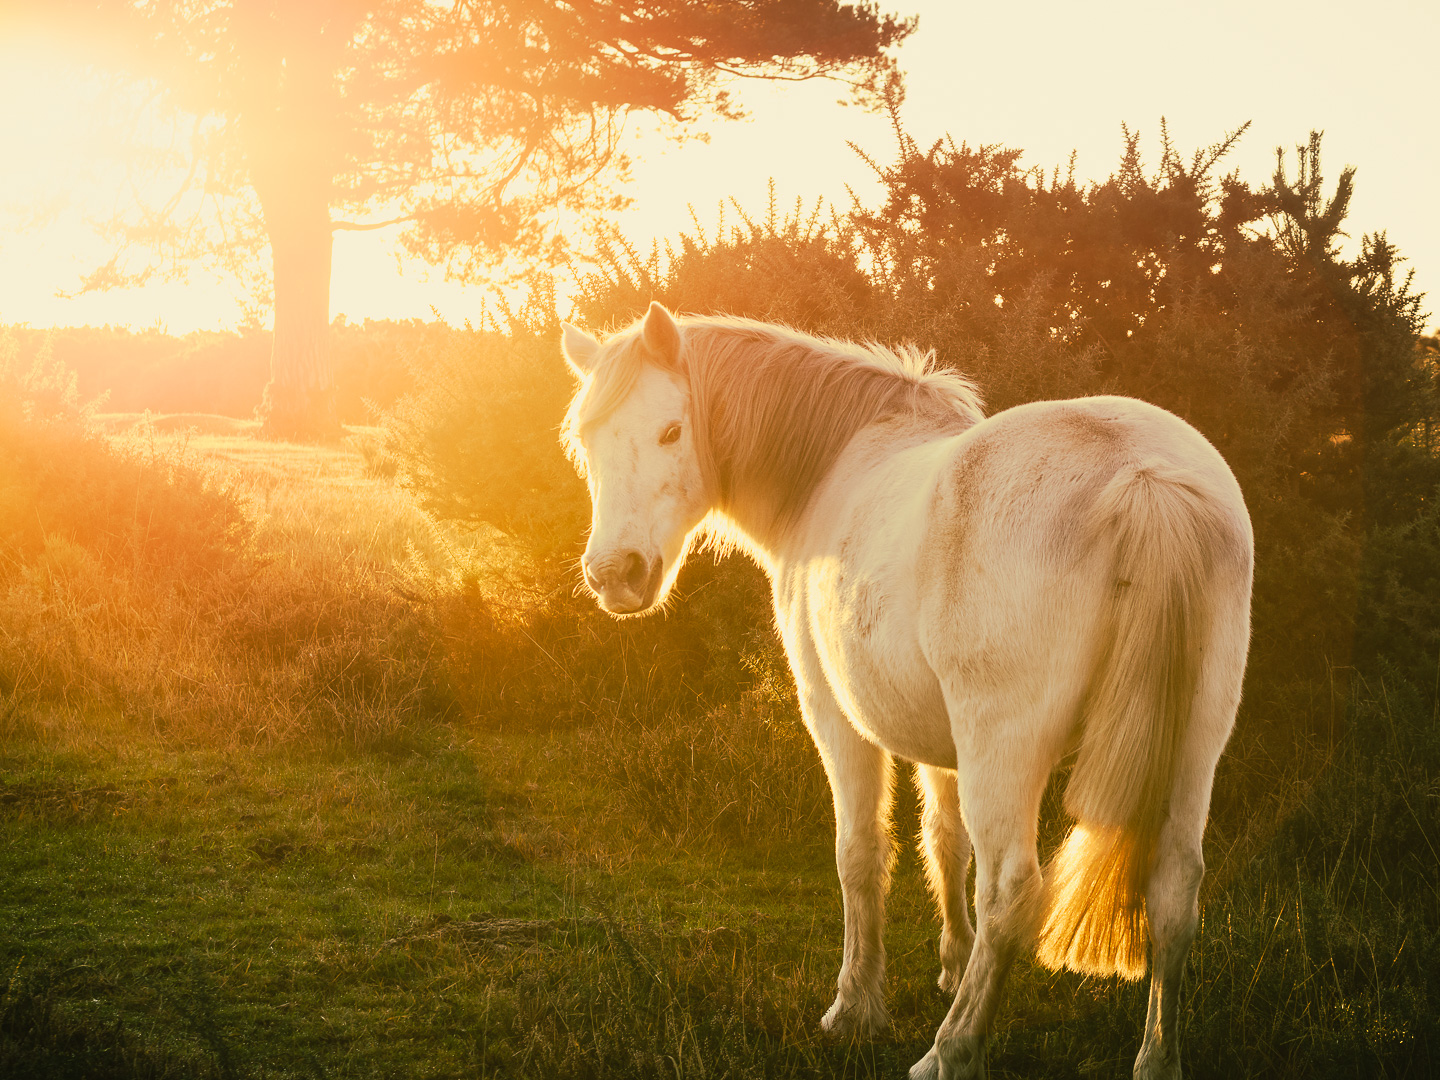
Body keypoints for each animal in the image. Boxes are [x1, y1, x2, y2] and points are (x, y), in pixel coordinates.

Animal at [559, 301, 1253, 1080]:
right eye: (586, 442)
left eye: (671, 431)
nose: (615, 574)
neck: (833, 463)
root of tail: (1140, 474)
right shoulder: (940, 739)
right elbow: (945, 839)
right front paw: (951, 962)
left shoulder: (834, 718)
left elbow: (860, 853)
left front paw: (856, 1007)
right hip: (1194, 747)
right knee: (1174, 892)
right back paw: (1153, 1058)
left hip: (1006, 751)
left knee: (1013, 892)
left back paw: (948, 1052)